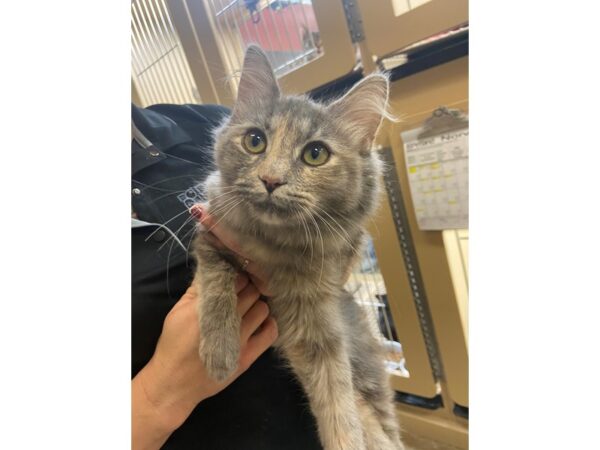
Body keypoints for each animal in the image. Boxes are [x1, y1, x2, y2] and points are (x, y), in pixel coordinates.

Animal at [192, 45, 404, 450]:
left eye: (315, 154)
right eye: (255, 141)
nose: (270, 180)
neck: (275, 245)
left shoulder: (318, 317)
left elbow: (339, 403)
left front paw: (348, 438)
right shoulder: (211, 233)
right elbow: (217, 282)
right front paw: (220, 353)